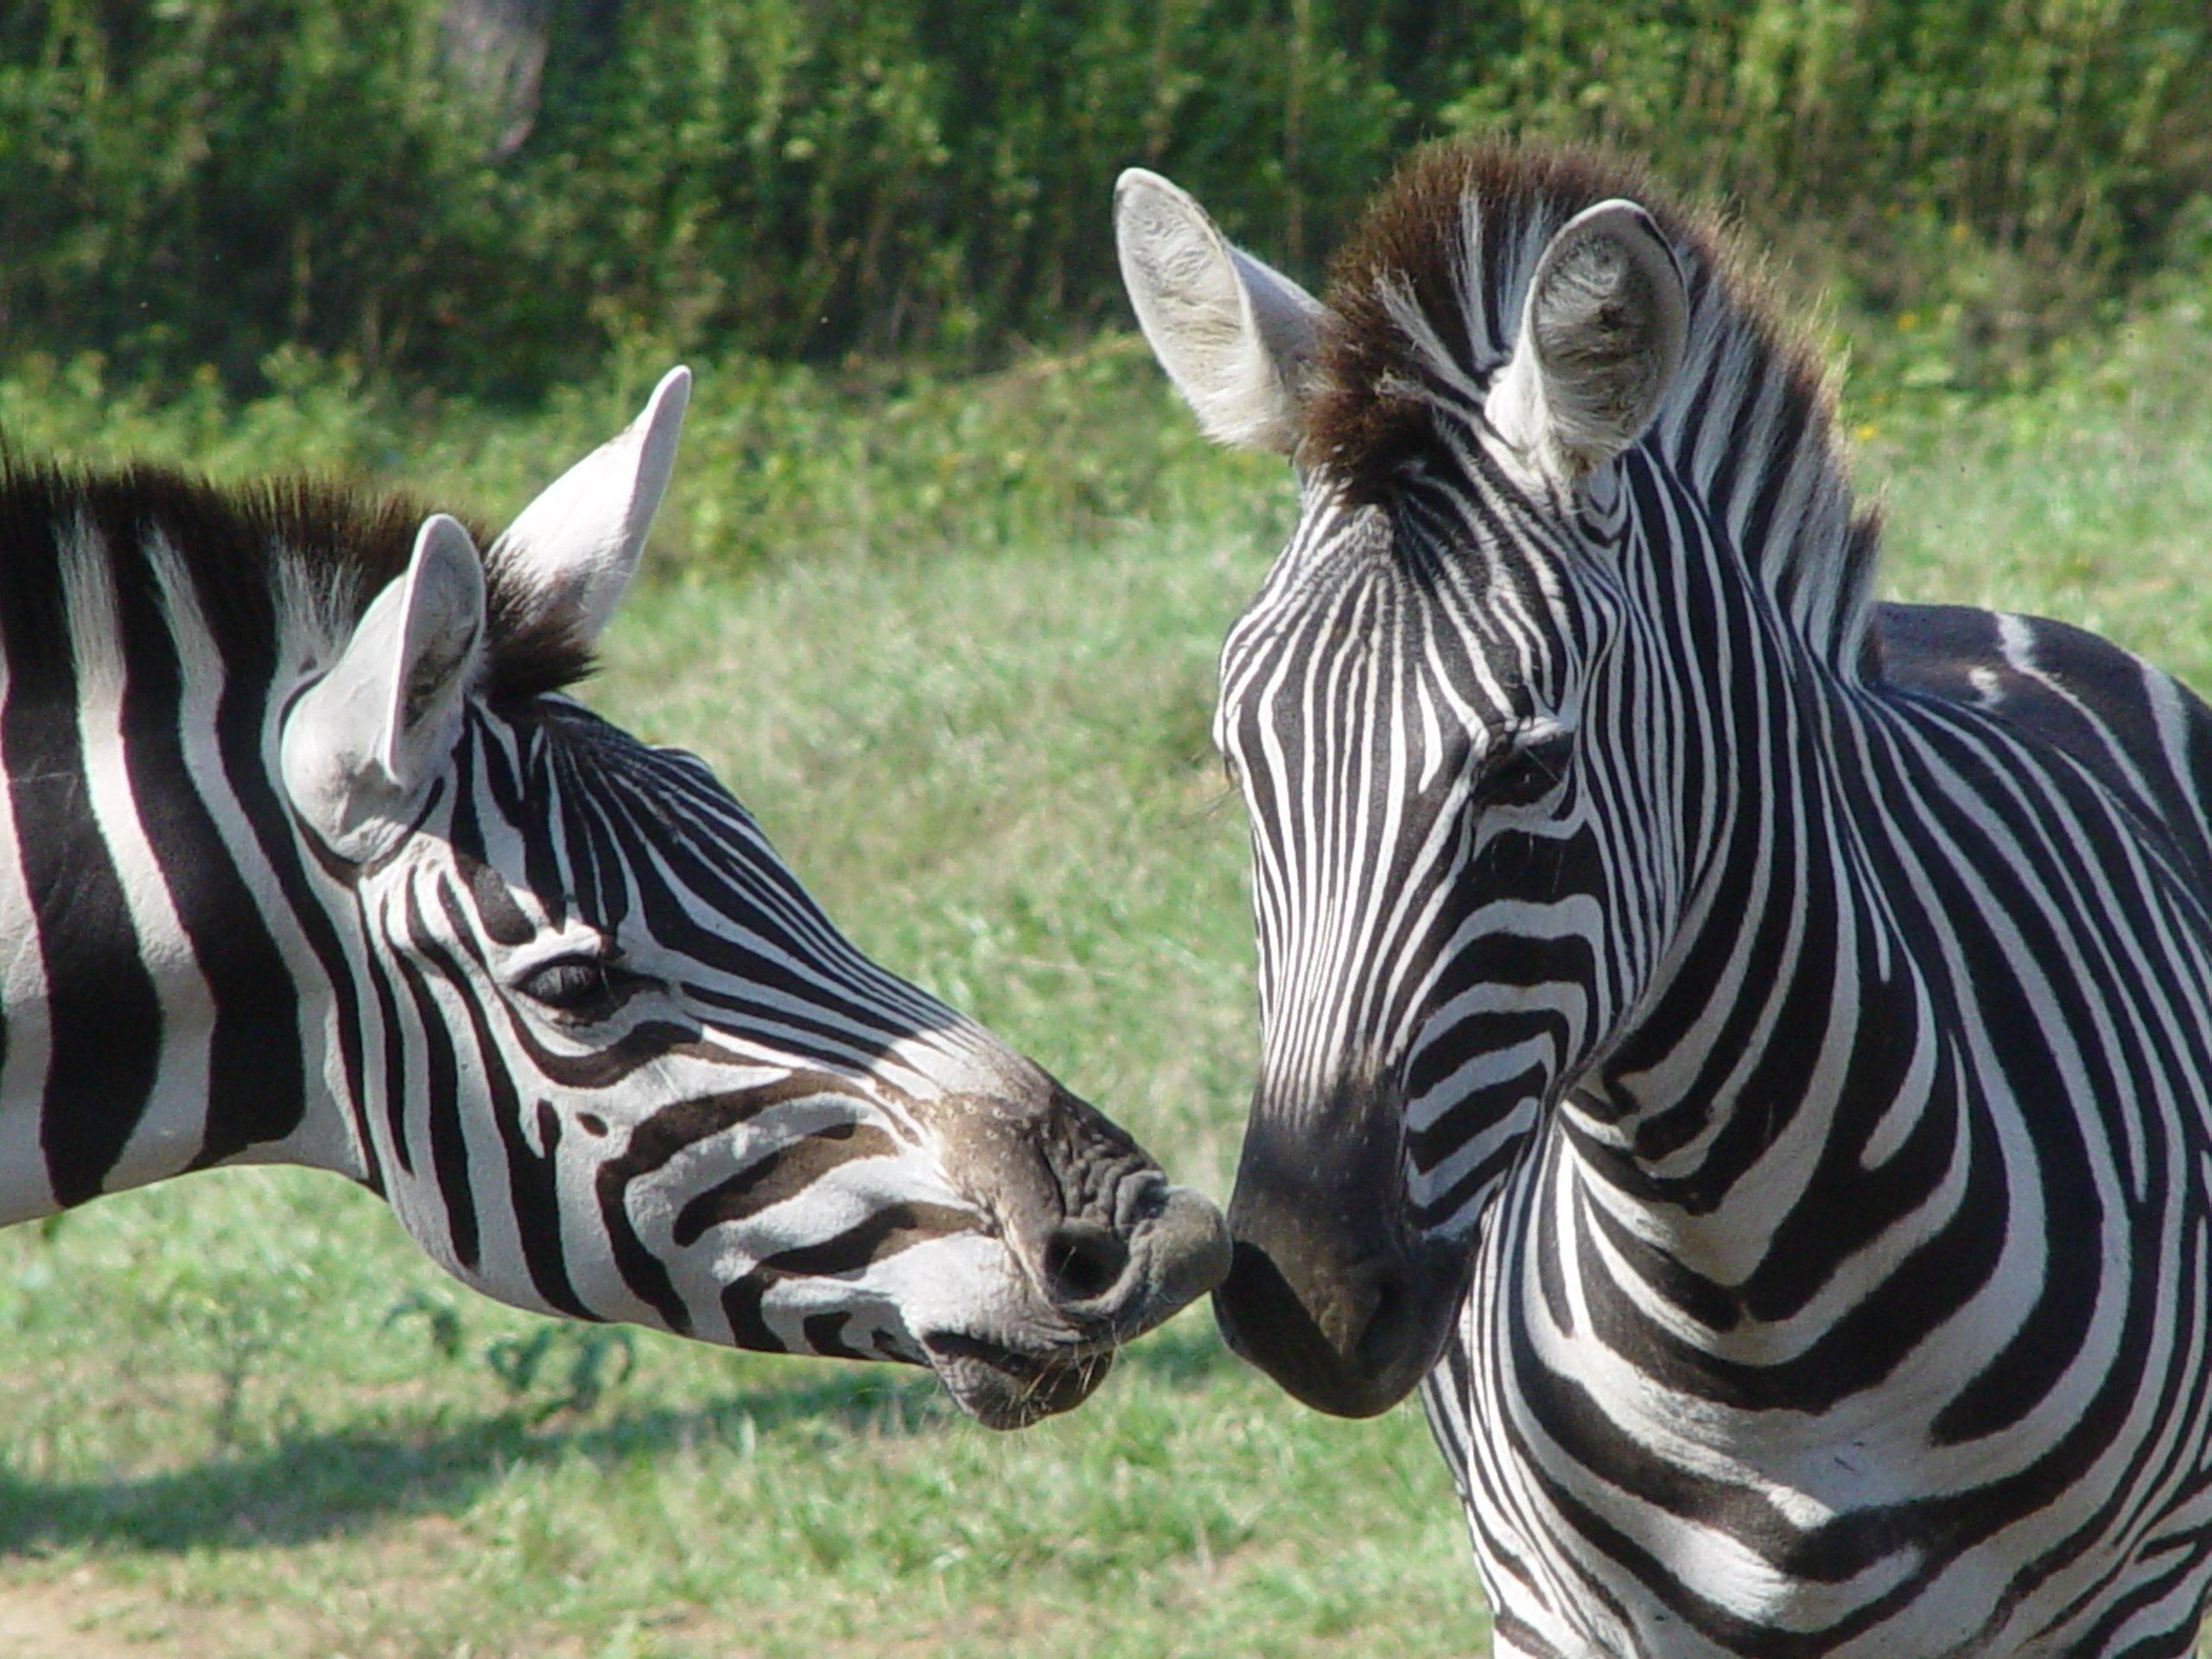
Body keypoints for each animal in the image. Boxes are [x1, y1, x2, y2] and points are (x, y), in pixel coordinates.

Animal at [1123, 145, 2212, 1659]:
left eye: (1527, 766)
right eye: (1239, 759)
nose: (1298, 1300)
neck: (1753, 1306)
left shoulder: (2132, 1599)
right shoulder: (1547, 1609)